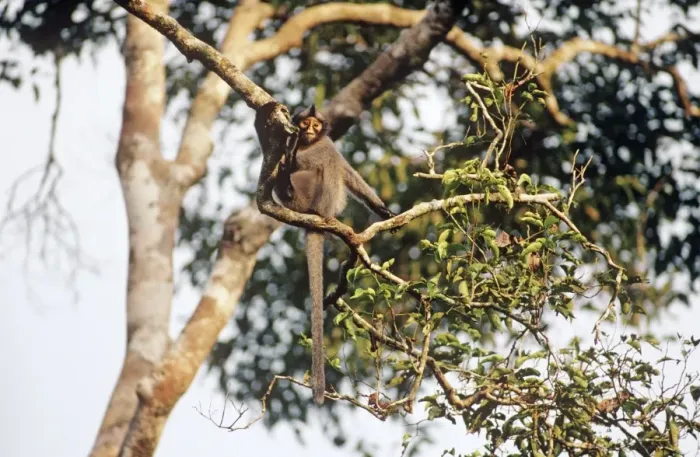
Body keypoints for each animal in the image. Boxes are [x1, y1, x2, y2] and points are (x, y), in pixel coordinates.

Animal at [274, 104, 395, 405]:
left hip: (314, 193)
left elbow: (345, 170)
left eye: (316, 125)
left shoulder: (325, 144)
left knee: (329, 164)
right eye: (305, 123)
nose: (308, 130)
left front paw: (383, 210)